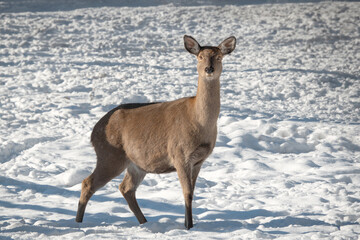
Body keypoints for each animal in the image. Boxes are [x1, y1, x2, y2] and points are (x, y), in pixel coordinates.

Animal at [76, 35, 236, 229]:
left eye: (219, 57)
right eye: (200, 57)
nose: (209, 69)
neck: (200, 123)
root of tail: (94, 131)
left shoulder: (199, 161)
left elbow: (191, 192)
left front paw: (188, 224)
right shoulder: (179, 154)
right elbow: (187, 193)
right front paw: (189, 227)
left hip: (135, 163)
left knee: (125, 188)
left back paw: (144, 222)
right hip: (110, 155)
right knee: (88, 183)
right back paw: (78, 223)